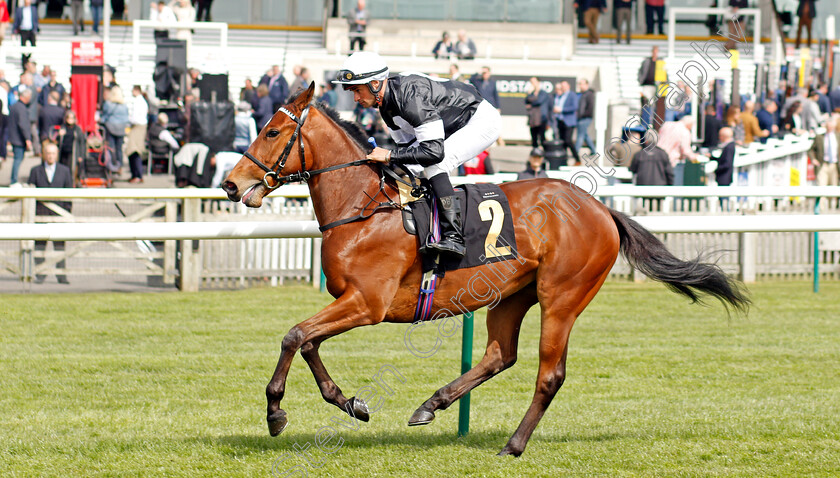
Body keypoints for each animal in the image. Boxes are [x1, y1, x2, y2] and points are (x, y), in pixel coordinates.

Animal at [221, 84, 748, 458]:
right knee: (499, 355)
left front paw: (275, 412)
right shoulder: (349, 302)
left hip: (562, 298)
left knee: (548, 374)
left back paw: (513, 445)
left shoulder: (366, 304)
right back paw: (431, 405)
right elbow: (308, 342)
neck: (363, 207)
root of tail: (601, 209)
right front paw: (351, 403)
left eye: (271, 132)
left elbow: (294, 335)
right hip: (511, 294)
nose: (230, 184)